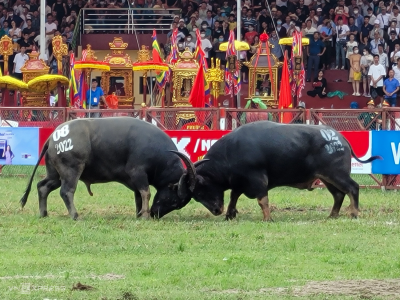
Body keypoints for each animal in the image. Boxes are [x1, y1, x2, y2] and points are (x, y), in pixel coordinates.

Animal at [19, 118, 205, 220]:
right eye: (175, 202)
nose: (155, 214)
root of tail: (53, 136)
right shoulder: (138, 172)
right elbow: (146, 193)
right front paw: (144, 215)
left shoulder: (135, 180)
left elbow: (138, 196)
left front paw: (139, 213)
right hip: (71, 170)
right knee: (66, 192)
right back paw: (75, 215)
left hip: (55, 174)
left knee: (43, 186)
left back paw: (44, 213)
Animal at [163, 120, 384, 221]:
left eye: (200, 191)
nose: (216, 211)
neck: (231, 152)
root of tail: (339, 137)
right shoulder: (239, 182)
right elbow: (234, 196)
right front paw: (229, 215)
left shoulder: (258, 180)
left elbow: (263, 200)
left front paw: (267, 218)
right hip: (326, 178)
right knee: (338, 195)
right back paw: (332, 216)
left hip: (336, 174)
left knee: (353, 188)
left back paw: (354, 213)